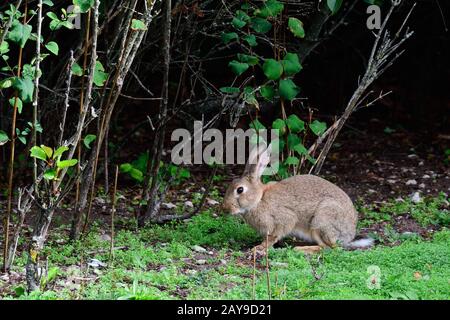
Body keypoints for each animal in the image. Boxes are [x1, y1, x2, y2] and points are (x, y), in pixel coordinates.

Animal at [221, 144, 372, 254]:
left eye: (240, 190)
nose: (225, 208)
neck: (259, 199)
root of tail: (349, 236)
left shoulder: (284, 219)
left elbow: (274, 236)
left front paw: (259, 248)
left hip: (321, 220)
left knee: (329, 248)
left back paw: (301, 249)